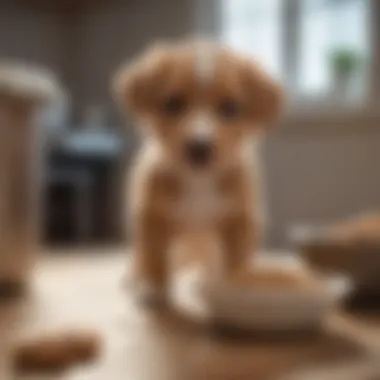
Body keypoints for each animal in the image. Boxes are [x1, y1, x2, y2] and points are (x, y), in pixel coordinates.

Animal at [113, 40, 284, 302]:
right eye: (172, 103)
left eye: (231, 108)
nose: (199, 146)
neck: (199, 180)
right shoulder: (151, 216)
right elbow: (153, 255)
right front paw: (152, 287)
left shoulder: (240, 220)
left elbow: (237, 262)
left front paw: (237, 287)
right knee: (142, 256)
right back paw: (135, 278)